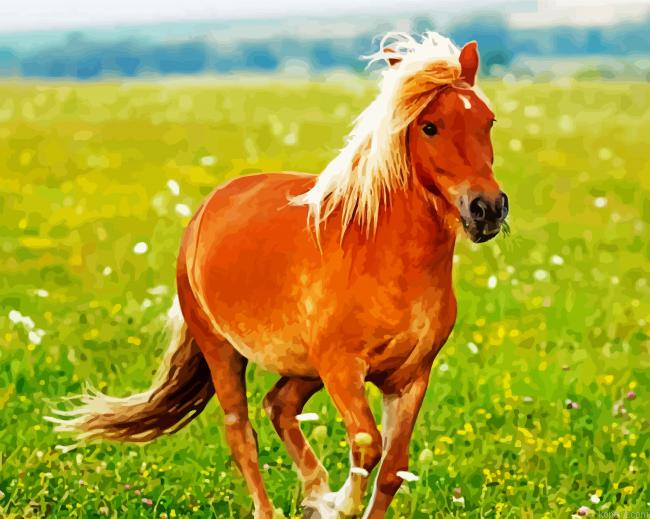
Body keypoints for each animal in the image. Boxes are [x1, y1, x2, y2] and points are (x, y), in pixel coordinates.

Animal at [52, 32, 509, 519]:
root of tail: (208, 207)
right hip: (223, 351)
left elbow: (391, 468)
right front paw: (336, 504)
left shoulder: (410, 376)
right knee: (242, 433)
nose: (487, 208)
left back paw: (312, 489)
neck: (387, 258)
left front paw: (325, 499)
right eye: (429, 126)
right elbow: (366, 444)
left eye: (488, 121)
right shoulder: (343, 369)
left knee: (279, 405)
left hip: (303, 366)